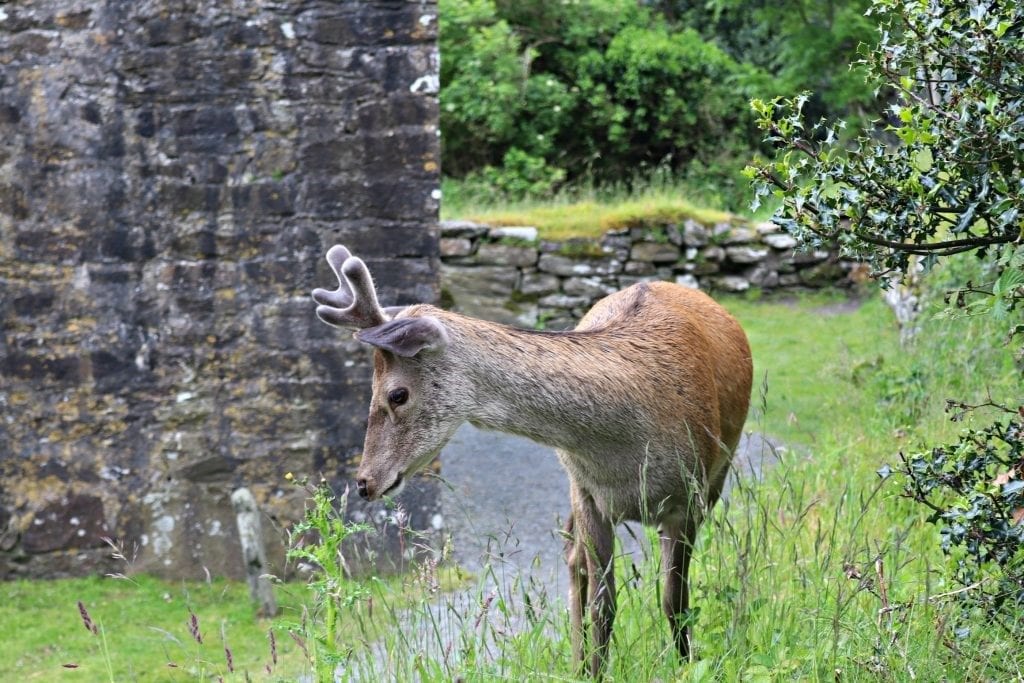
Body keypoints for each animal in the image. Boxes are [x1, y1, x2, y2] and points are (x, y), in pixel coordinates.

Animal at [311, 242, 753, 675]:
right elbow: (603, 604)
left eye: (397, 394)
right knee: (573, 558)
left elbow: (674, 601)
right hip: (574, 485)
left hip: (716, 474)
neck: (628, 450)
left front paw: (686, 664)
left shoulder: (689, 496)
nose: (365, 482)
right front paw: (594, 670)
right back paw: (577, 663)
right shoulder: (589, 494)